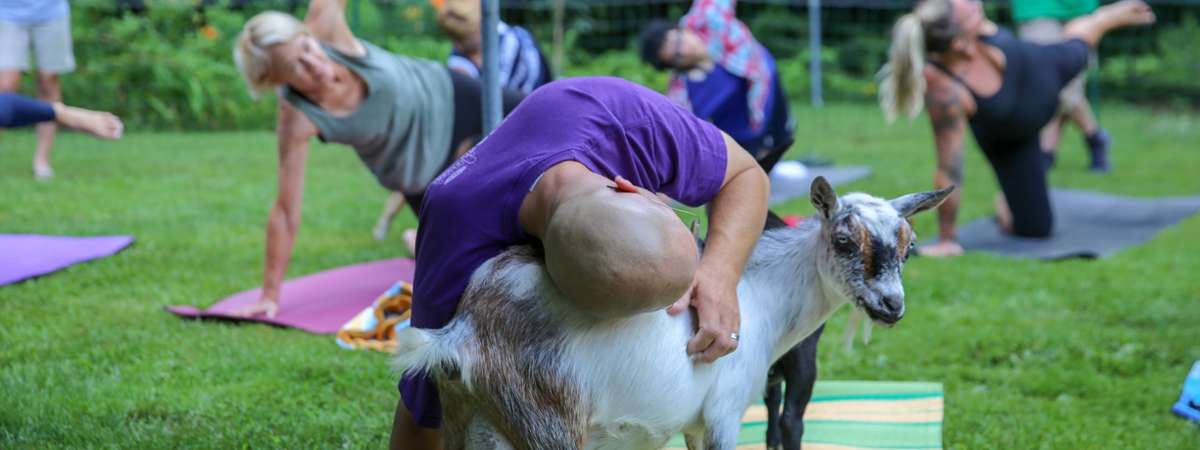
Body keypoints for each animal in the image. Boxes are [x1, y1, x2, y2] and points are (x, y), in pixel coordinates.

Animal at [398, 177, 950, 448]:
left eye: (910, 248)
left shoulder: (695, 424)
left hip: (474, 419)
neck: (761, 296)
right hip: (546, 419)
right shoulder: (724, 413)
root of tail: (464, 332)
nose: (891, 306)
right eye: (843, 241)